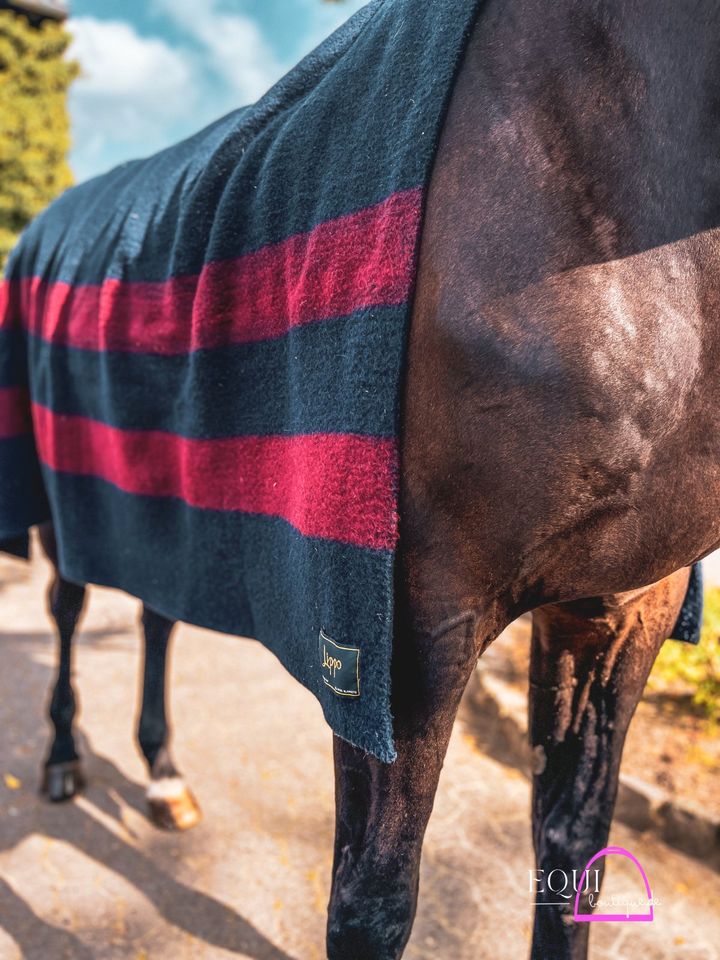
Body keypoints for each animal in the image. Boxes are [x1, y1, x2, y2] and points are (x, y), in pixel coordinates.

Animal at [7, 1, 720, 960]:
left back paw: (162, 774)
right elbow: (370, 904)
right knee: (70, 609)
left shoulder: (624, 606)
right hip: (66, 502)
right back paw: (60, 759)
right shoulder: (405, 636)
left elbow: (573, 858)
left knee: (156, 613)